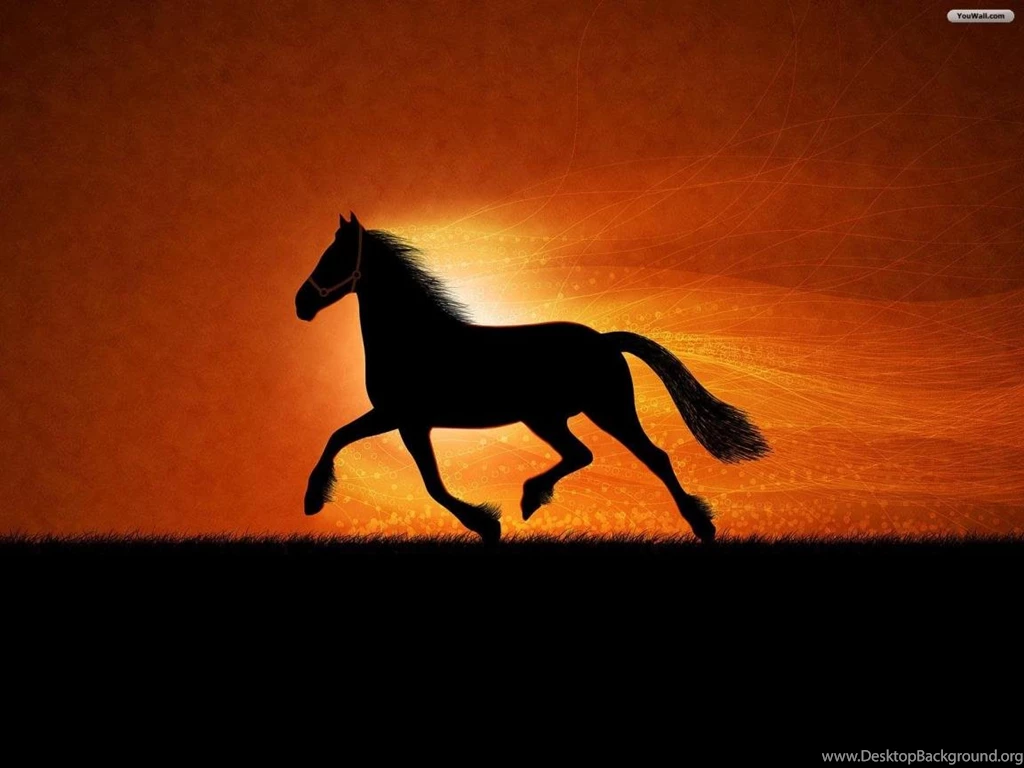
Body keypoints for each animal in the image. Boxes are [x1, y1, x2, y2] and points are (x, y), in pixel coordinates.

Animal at [295, 213, 770, 544]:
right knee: (582, 455)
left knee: (653, 457)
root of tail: (604, 340)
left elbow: (428, 482)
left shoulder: (405, 419)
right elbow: (341, 438)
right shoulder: (398, 418)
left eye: (334, 257)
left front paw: (486, 524)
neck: (413, 338)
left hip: (603, 411)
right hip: (549, 418)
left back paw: (701, 526)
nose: (301, 304)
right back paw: (531, 497)